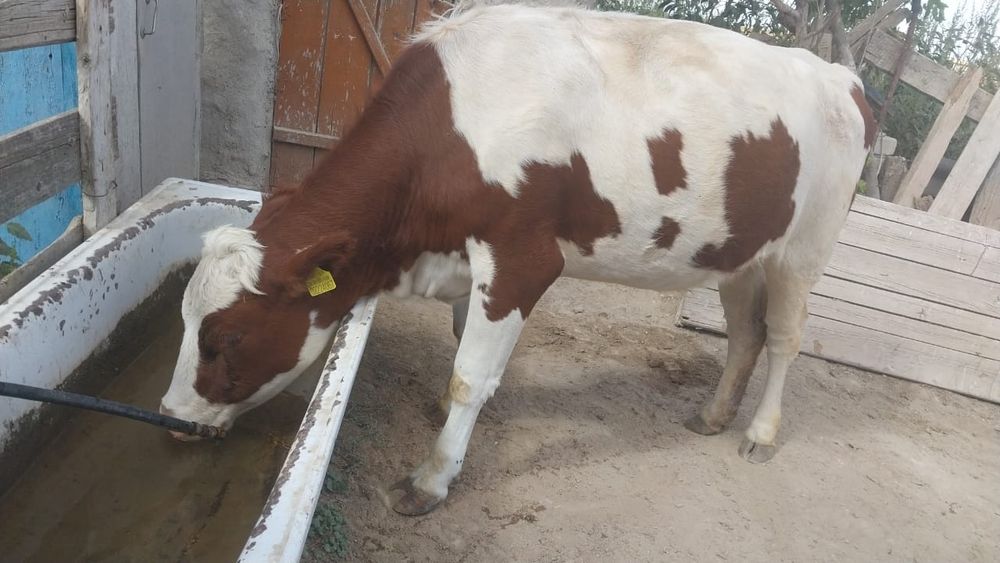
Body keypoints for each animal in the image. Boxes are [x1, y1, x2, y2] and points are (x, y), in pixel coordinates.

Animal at [159, 4, 875, 515]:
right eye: (184, 321)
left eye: (224, 337)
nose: (169, 418)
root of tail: (840, 76)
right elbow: (460, 352)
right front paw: (444, 424)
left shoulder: (522, 260)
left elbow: (470, 374)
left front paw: (431, 480)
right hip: (742, 254)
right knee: (745, 335)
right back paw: (713, 415)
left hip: (804, 250)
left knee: (783, 339)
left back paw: (760, 433)